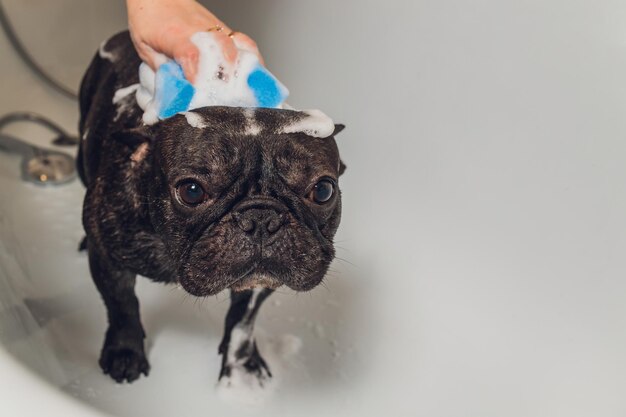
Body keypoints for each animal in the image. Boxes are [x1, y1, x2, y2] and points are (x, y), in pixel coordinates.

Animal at [77, 31, 344, 384]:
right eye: (191, 191)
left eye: (323, 190)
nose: (261, 217)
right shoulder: (109, 259)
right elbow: (122, 306)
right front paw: (125, 352)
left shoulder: (260, 285)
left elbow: (242, 319)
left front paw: (242, 366)